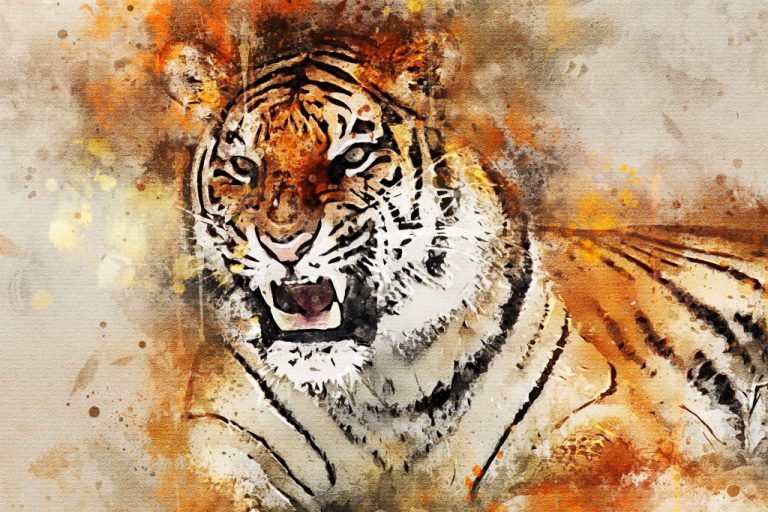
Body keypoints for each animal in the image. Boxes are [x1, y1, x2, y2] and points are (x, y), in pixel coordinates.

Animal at [181, 42, 768, 511]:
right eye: (243, 167)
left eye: (353, 157)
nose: (284, 244)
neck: (380, 391)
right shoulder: (212, 440)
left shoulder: (608, 421)